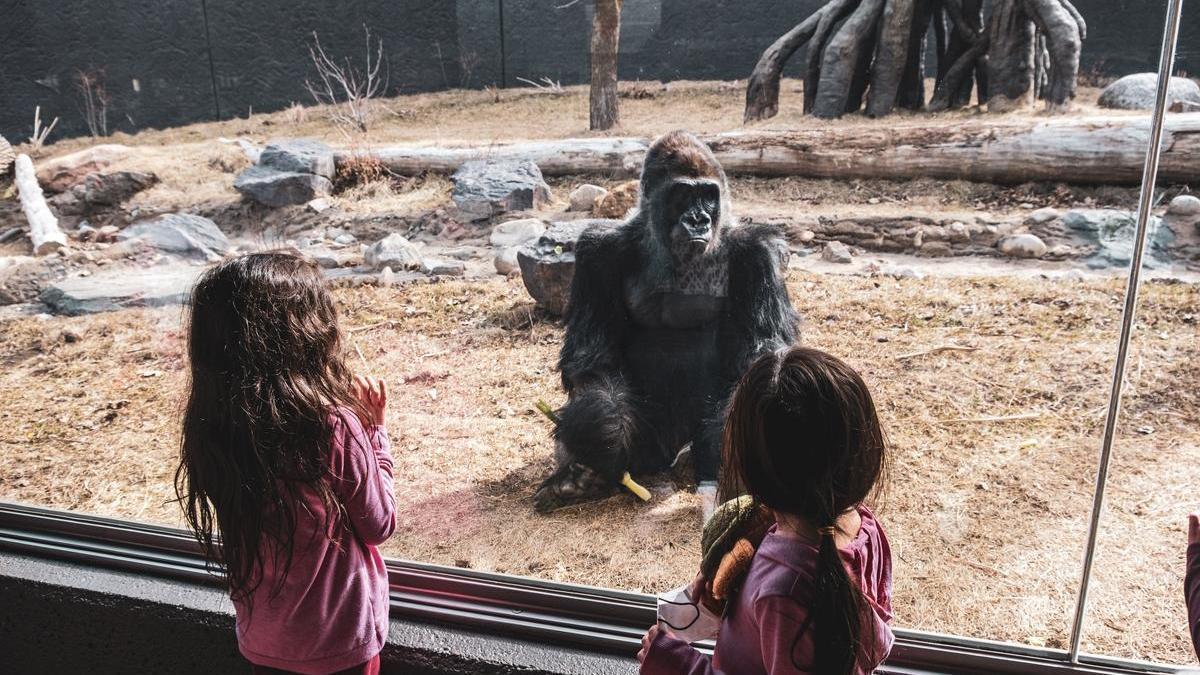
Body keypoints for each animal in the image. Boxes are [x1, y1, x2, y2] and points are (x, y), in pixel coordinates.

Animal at [532, 130, 796, 509]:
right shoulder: (598, 251)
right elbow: (591, 358)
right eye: (683, 194)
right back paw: (580, 478)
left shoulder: (757, 251)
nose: (699, 220)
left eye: (708, 195)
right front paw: (604, 428)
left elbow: (764, 352)